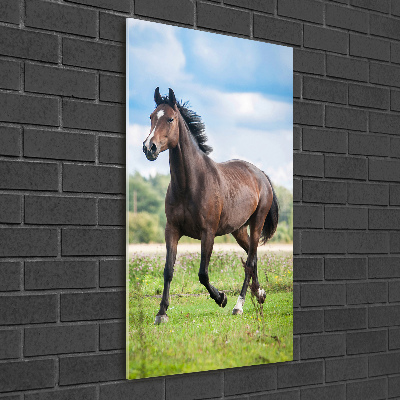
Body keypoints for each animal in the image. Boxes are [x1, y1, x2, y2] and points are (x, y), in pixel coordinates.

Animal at [143, 87, 278, 324]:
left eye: (170, 119)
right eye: (151, 117)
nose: (149, 147)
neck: (190, 183)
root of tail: (260, 174)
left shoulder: (208, 233)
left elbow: (202, 273)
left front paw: (221, 298)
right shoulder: (172, 230)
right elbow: (168, 270)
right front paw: (161, 313)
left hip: (257, 224)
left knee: (249, 262)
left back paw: (239, 305)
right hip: (239, 230)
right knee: (252, 258)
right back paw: (259, 294)